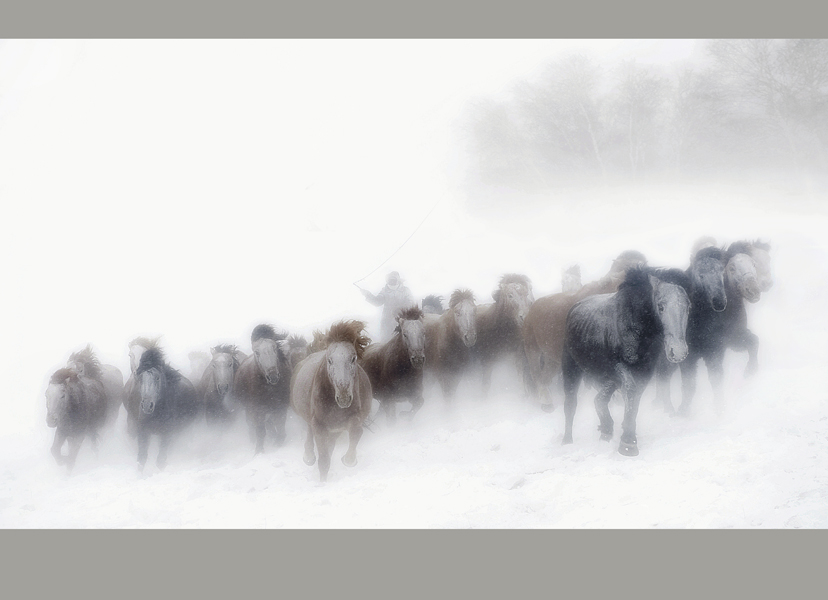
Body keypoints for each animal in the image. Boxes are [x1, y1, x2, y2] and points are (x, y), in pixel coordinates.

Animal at [133, 346, 199, 474]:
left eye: (157, 378)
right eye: (140, 378)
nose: (147, 405)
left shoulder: (167, 434)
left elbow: (160, 460)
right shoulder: (143, 432)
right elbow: (141, 459)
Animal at [288, 318, 372, 482]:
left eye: (353, 358)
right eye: (329, 360)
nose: (344, 397)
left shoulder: (351, 419)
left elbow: (356, 432)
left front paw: (349, 460)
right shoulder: (319, 426)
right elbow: (324, 461)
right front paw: (322, 483)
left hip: (334, 430)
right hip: (313, 421)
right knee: (310, 432)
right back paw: (308, 457)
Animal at [524, 250, 648, 412]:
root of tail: (532, 308)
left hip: (552, 357)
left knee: (545, 377)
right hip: (533, 349)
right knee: (536, 375)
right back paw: (545, 402)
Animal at [564, 268, 692, 454]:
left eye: (688, 306)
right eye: (660, 306)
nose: (678, 352)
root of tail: (574, 308)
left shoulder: (644, 371)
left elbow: (635, 398)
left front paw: (628, 436)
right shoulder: (620, 367)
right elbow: (631, 392)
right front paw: (628, 444)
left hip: (605, 377)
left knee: (600, 399)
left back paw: (606, 429)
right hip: (571, 367)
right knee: (571, 402)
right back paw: (567, 441)